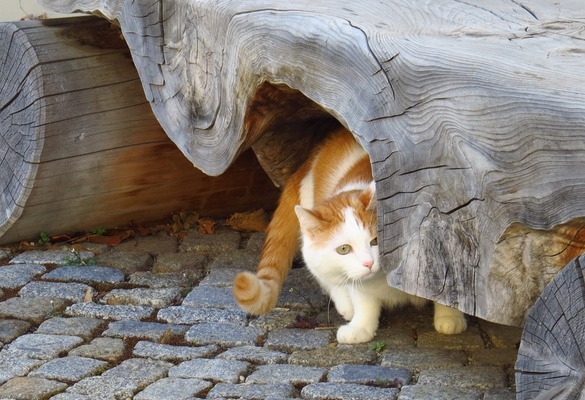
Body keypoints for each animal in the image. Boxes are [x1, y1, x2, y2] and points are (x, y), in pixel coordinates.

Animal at [233, 126, 466, 344]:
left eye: (376, 241)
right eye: (344, 249)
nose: (369, 263)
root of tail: (310, 159)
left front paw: (450, 317)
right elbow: (363, 301)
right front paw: (360, 327)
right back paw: (345, 304)